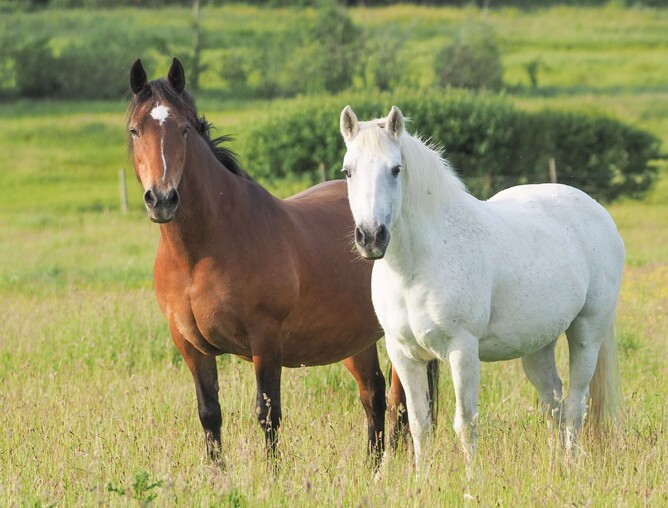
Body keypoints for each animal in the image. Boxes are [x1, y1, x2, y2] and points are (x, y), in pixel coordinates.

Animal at [126, 57, 437, 467]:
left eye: (183, 129)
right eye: (134, 130)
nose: (161, 199)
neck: (200, 253)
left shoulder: (266, 340)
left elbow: (267, 414)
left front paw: (272, 475)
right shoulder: (191, 347)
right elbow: (209, 414)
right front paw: (217, 475)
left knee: (403, 401)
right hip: (357, 339)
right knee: (373, 395)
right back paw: (372, 467)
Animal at [339, 104, 624, 473]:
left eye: (395, 169)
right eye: (348, 171)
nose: (371, 237)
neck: (417, 266)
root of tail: (596, 210)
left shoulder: (462, 350)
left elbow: (465, 423)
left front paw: (472, 480)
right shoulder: (404, 354)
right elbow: (418, 424)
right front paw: (422, 479)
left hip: (587, 333)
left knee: (576, 404)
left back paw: (570, 466)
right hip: (537, 345)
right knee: (553, 402)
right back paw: (554, 466)